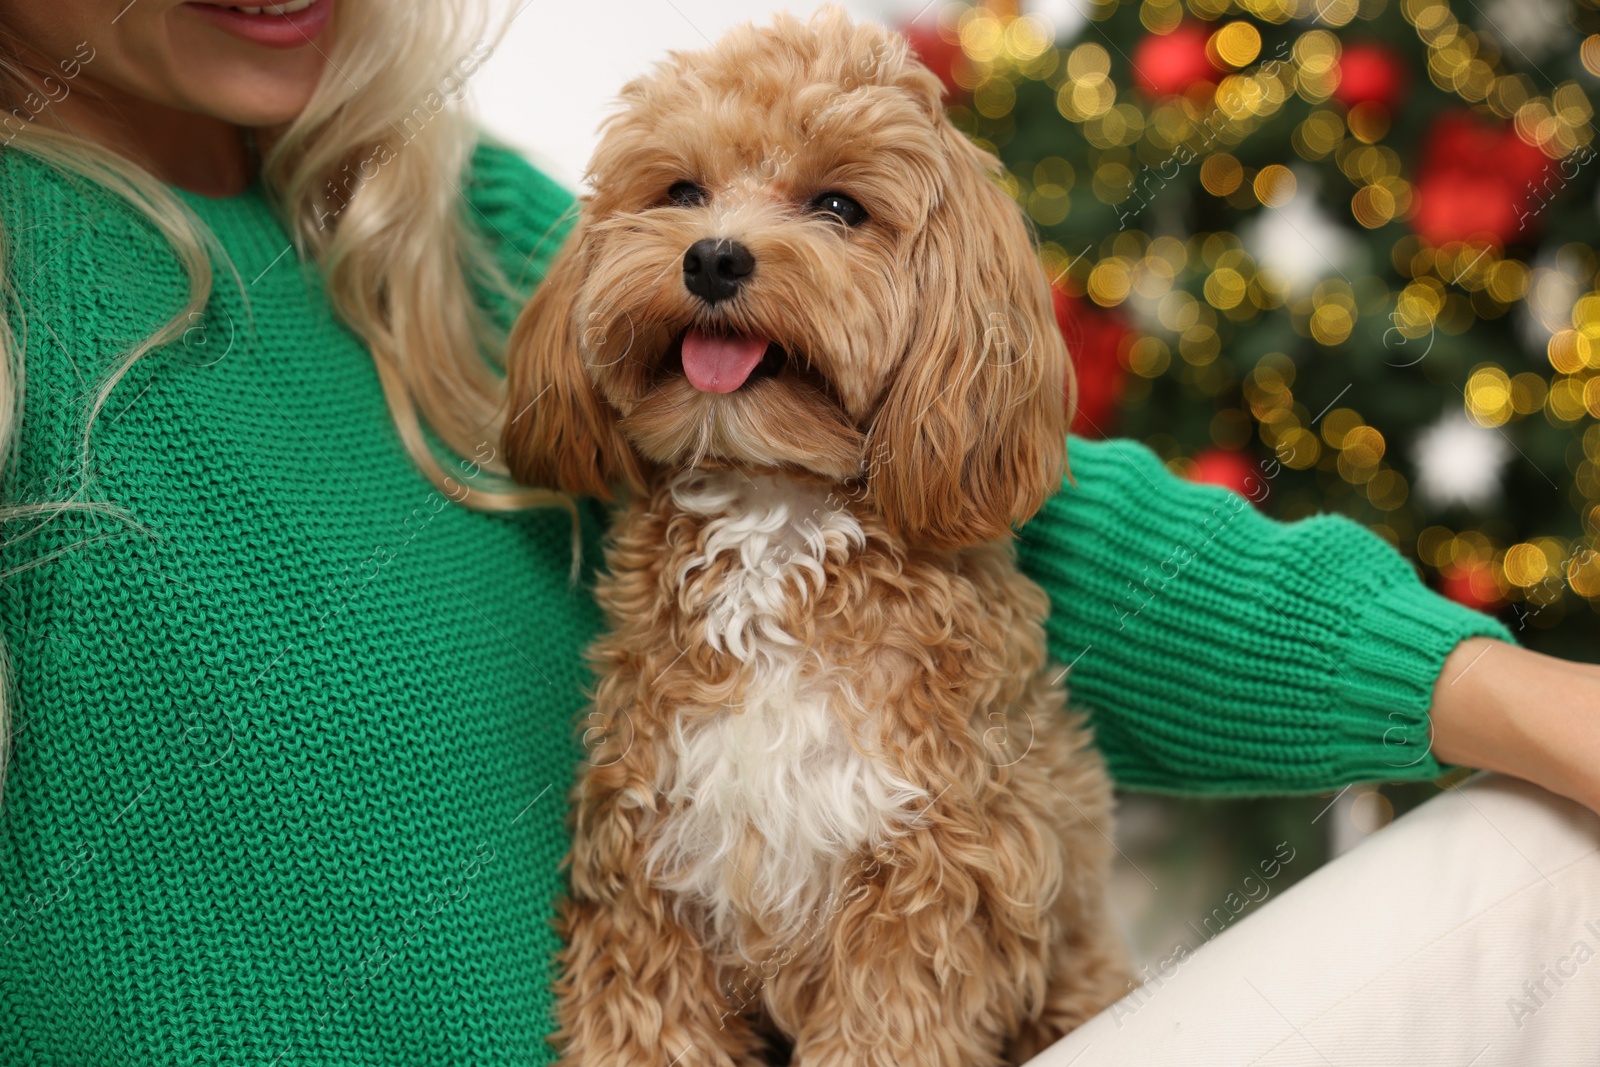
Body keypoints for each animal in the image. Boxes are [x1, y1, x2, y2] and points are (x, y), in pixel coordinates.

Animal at [505, 10, 1132, 1067]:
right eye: (681, 191)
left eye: (840, 206)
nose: (713, 257)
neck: (775, 514)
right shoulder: (649, 864)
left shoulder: (931, 886)